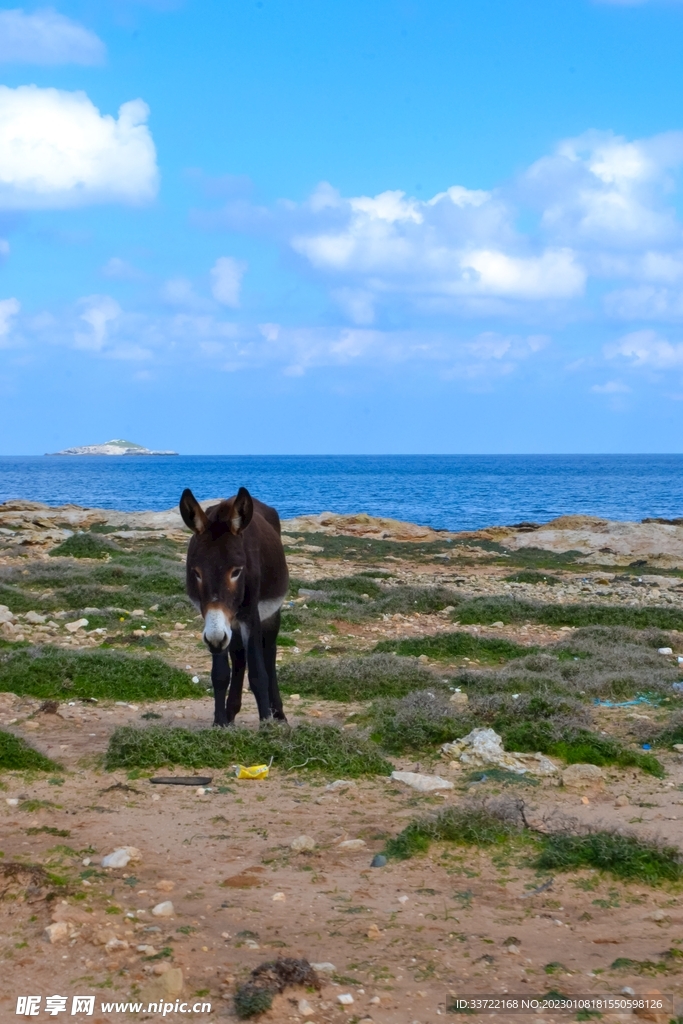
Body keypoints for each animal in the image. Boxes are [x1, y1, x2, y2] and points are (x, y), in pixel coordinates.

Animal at [179, 487, 289, 725]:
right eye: (196, 572)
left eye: (237, 571)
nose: (216, 638)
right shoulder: (214, 620)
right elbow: (220, 674)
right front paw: (219, 723)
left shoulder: (251, 616)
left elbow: (258, 673)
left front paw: (266, 724)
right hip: (232, 625)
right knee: (239, 657)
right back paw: (231, 712)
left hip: (270, 615)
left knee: (269, 654)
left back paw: (279, 715)